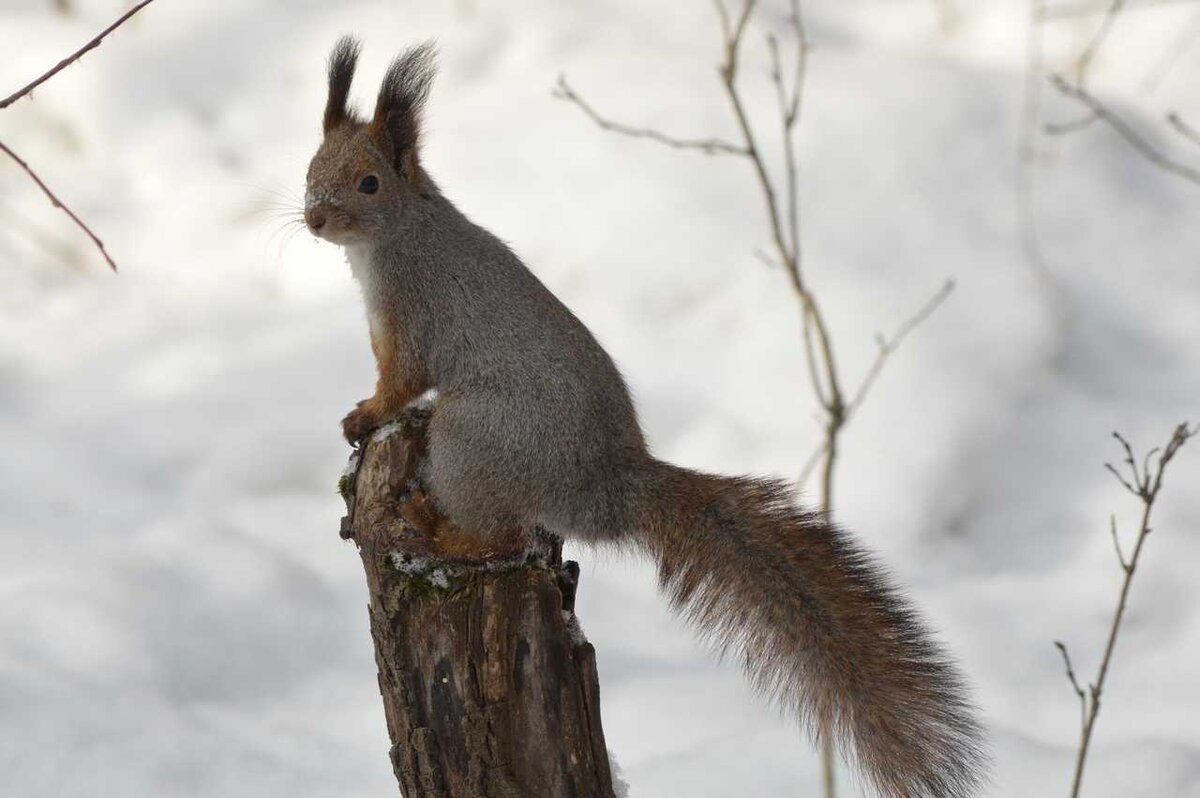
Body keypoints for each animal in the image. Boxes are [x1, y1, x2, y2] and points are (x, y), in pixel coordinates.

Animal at [307, 37, 984, 796]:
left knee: (501, 531)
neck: (397, 237)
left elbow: (402, 382)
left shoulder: (415, 316)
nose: (314, 218)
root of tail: (610, 485)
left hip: (474, 440)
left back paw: (435, 526)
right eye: (311, 166)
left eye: (368, 183)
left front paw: (365, 417)